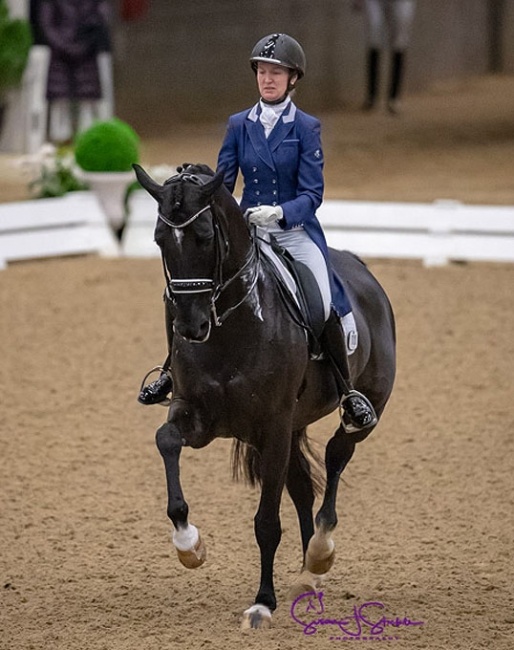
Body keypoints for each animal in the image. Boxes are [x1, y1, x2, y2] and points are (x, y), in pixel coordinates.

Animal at [133, 162, 396, 628]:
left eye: (205, 236)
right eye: (160, 238)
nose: (190, 327)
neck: (231, 326)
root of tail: (361, 269)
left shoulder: (272, 425)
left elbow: (267, 523)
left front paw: (262, 602)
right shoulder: (200, 416)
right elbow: (166, 441)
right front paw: (189, 546)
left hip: (359, 410)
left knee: (336, 457)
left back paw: (320, 553)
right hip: (290, 428)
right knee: (303, 488)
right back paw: (308, 577)